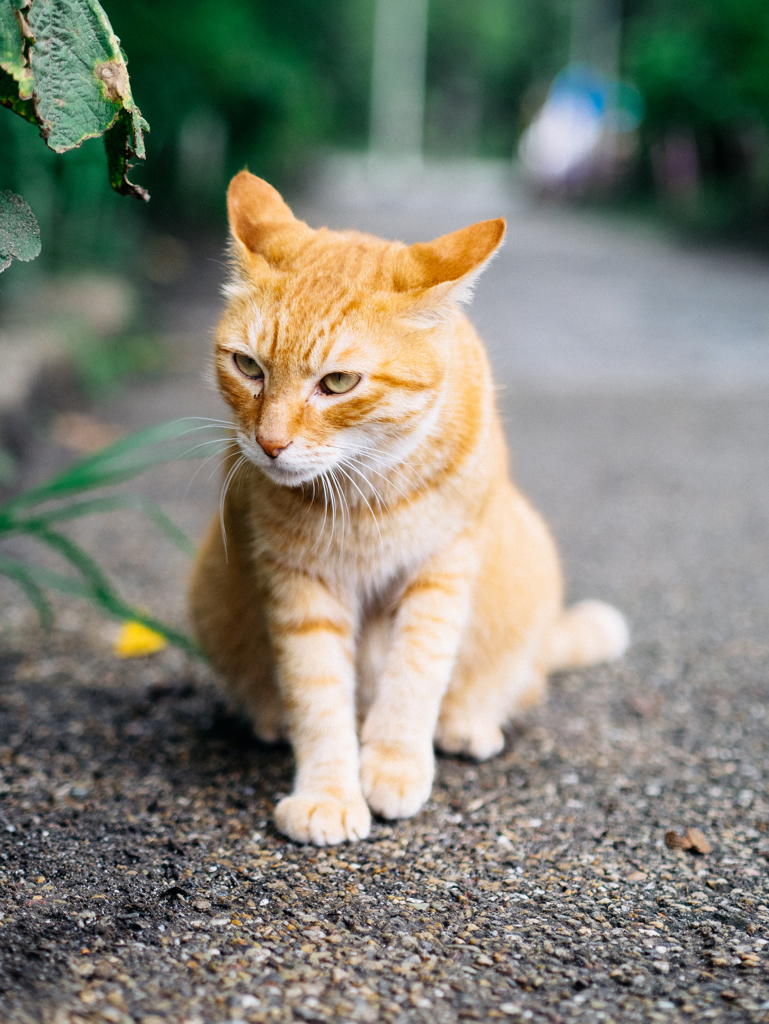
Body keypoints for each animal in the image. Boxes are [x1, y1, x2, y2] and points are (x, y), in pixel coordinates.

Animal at [189, 172, 626, 843]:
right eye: (248, 367)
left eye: (338, 382)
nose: (269, 443)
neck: (366, 490)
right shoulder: (300, 586)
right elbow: (317, 694)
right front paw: (327, 792)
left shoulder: (443, 569)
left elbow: (416, 675)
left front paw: (393, 765)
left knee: (516, 683)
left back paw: (467, 722)